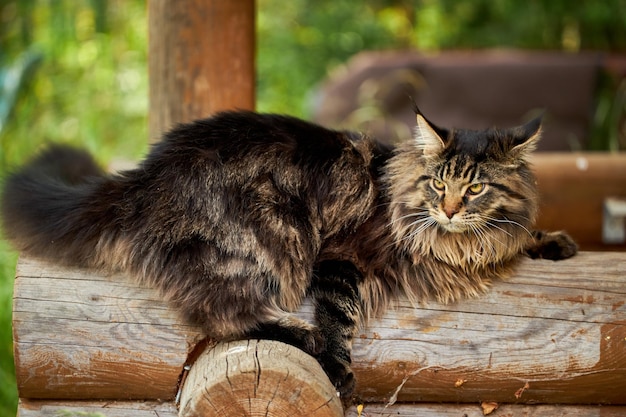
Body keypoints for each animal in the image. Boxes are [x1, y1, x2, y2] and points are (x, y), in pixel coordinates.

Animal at [0, 109, 576, 398]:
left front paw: (551, 242)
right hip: (270, 241)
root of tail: (143, 177)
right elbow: (339, 316)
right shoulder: (342, 259)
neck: (458, 243)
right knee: (223, 319)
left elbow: (521, 234)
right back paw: (308, 341)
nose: (452, 210)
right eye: (439, 184)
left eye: (475, 189)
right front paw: (339, 366)